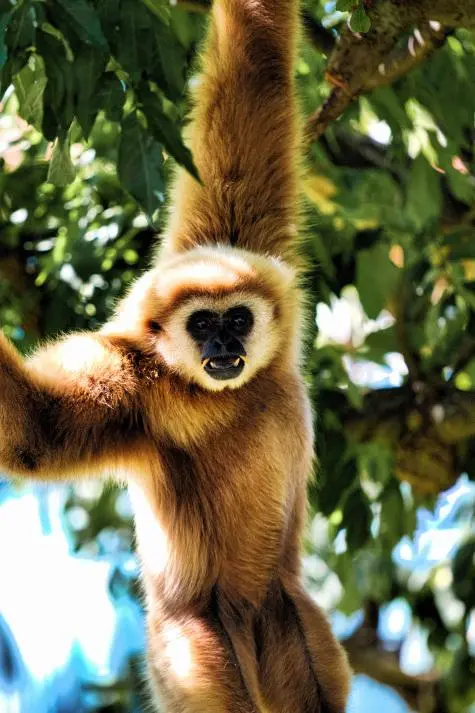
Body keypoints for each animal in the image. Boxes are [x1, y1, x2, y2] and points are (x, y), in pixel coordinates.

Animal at [0, 0, 352, 711]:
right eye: (203, 324)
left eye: (238, 318)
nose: (223, 346)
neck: (216, 390)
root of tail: (245, 611)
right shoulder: (133, 382)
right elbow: (34, 432)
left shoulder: (239, 244)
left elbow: (255, 74)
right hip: (191, 641)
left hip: (285, 616)